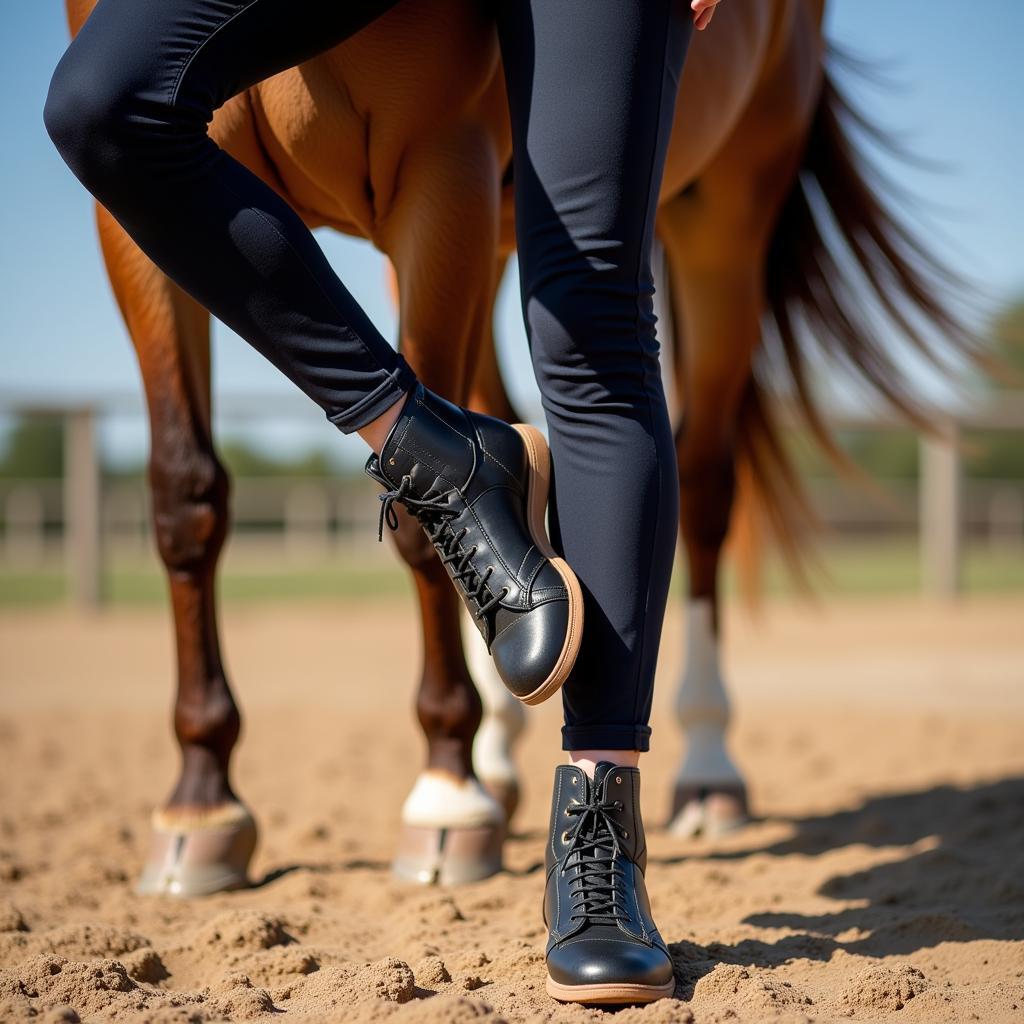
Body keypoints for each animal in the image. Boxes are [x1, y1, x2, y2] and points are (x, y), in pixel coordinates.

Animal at [64, 0, 974, 892]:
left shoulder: (441, 170)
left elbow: (423, 546)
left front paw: (443, 789)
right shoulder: (133, 220)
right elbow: (184, 495)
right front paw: (200, 800)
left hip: (722, 215)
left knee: (706, 485)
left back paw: (705, 766)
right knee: (493, 412)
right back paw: (499, 749)